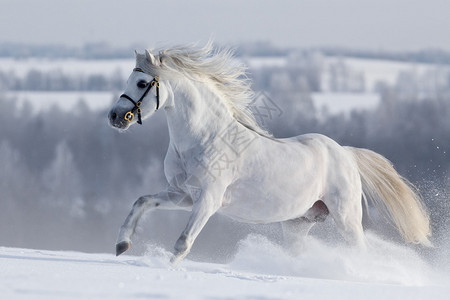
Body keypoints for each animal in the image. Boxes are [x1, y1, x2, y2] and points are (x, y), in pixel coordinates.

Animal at [107, 43, 430, 264]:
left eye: (141, 83)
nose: (115, 116)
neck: (204, 139)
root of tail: (346, 155)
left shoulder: (209, 199)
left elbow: (183, 242)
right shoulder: (183, 195)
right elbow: (141, 201)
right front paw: (122, 246)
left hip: (347, 218)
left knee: (359, 251)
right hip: (298, 223)